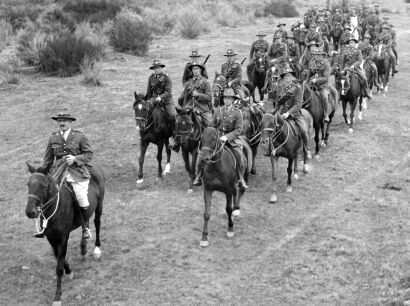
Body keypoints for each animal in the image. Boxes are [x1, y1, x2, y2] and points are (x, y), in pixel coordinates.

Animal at [25, 161, 105, 304]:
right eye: (29, 184)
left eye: (43, 186)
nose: (30, 212)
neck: (53, 209)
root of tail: (93, 166)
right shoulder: (51, 238)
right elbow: (58, 256)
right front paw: (69, 271)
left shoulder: (63, 238)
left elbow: (59, 267)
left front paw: (57, 296)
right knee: (86, 222)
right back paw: (83, 248)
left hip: (99, 206)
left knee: (97, 223)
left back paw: (97, 249)